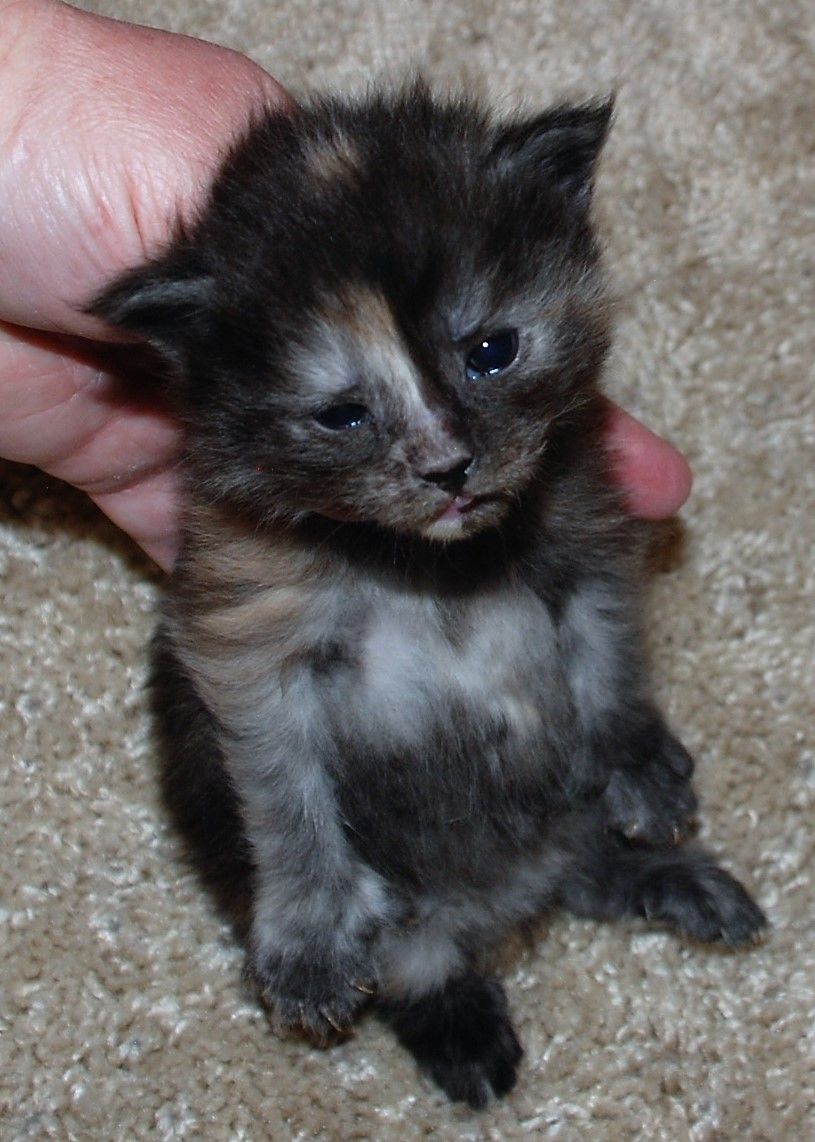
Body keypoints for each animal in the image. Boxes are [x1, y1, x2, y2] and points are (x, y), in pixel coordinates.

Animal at [91, 81, 766, 1109]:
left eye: (490, 351)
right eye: (342, 414)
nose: (448, 469)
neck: (429, 561)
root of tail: (510, 896)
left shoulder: (585, 542)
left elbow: (611, 656)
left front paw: (637, 762)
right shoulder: (245, 632)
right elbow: (281, 793)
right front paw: (308, 939)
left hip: (558, 824)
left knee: (584, 866)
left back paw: (668, 881)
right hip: (409, 899)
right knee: (417, 958)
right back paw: (461, 1026)